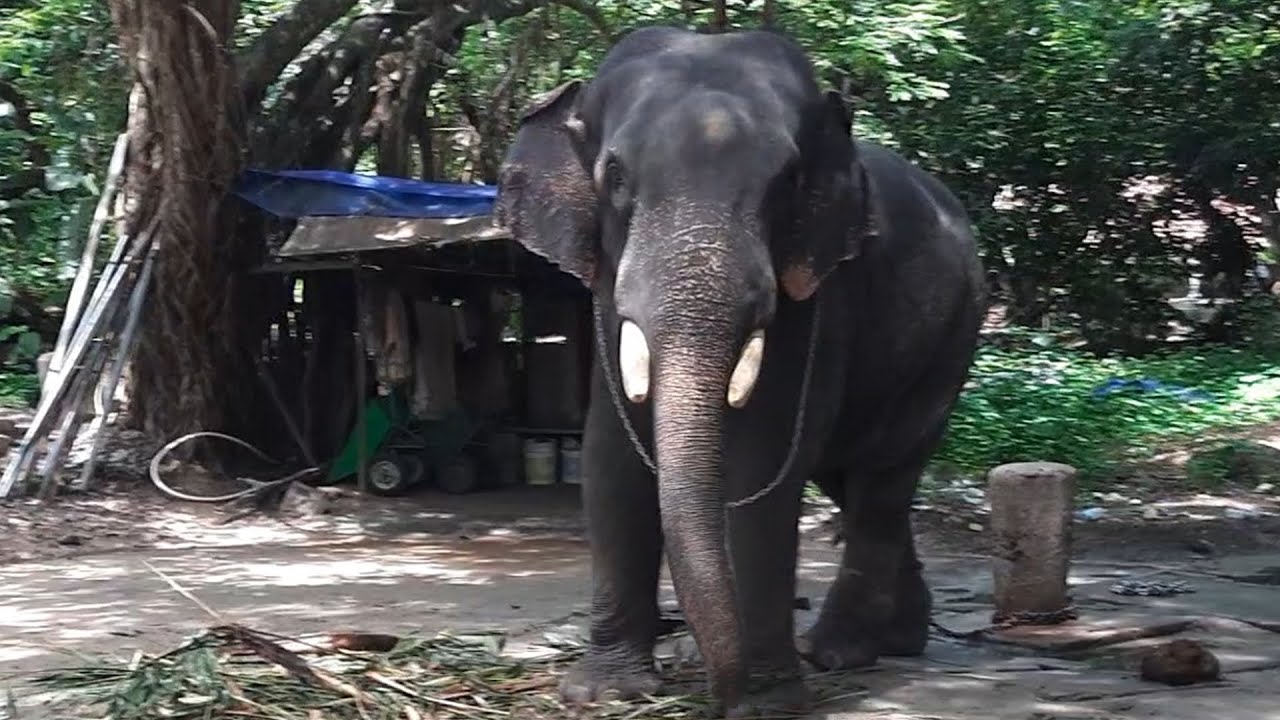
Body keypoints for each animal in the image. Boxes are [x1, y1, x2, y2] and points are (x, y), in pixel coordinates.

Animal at [493, 25, 985, 719]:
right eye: (614, 176)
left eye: (787, 181)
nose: (722, 697)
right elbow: (610, 454)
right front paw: (607, 692)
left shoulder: (818, 292)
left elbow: (764, 459)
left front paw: (770, 700)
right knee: (852, 478)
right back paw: (897, 641)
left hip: (951, 342)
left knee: (883, 480)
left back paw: (840, 652)